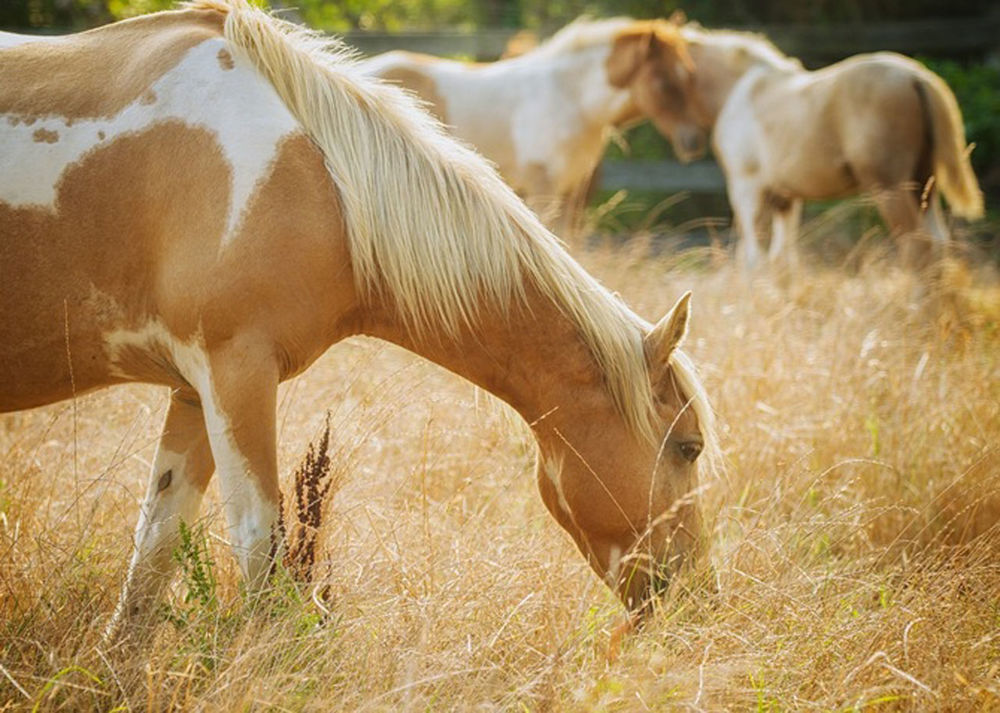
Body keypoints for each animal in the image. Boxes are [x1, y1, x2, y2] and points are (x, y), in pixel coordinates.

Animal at [359, 17, 693, 237]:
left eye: (687, 75)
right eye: (663, 82)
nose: (693, 141)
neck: (570, 97)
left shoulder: (571, 192)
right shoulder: (542, 186)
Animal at [602, 19, 985, 268]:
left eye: (669, 80)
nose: (691, 141)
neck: (738, 89)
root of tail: (916, 77)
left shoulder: (747, 189)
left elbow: (752, 261)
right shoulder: (784, 198)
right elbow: (782, 263)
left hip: (891, 188)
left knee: (917, 249)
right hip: (924, 185)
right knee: (939, 247)